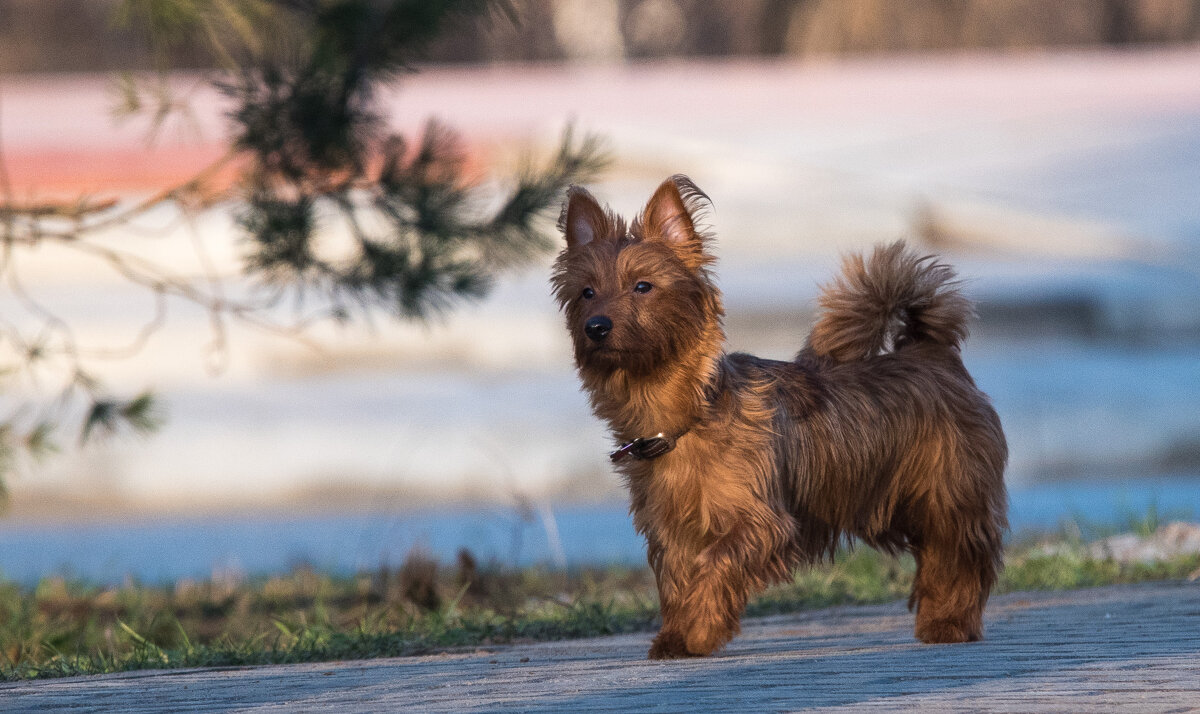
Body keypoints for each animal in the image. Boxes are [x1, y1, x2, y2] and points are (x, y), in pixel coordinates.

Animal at [549, 177, 1003, 657]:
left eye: (643, 286)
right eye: (586, 293)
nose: (596, 326)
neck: (686, 416)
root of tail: (931, 352)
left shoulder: (761, 524)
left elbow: (716, 565)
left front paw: (698, 630)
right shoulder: (673, 533)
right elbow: (678, 581)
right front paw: (676, 636)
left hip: (950, 498)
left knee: (957, 560)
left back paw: (948, 623)